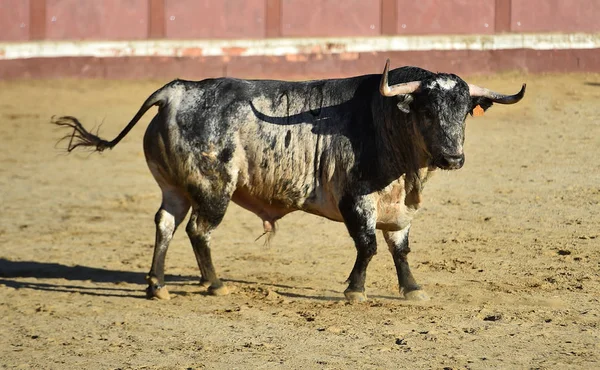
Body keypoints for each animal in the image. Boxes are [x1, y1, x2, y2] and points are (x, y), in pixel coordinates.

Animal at [55, 60, 524, 302]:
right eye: (426, 110)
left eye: (464, 112)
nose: (453, 157)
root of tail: (179, 89)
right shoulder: (356, 200)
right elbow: (368, 246)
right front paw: (354, 291)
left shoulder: (397, 208)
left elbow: (400, 249)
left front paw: (412, 289)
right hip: (214, 188)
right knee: (198, 230)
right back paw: (215, 285)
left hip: (175, 188)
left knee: (166, 225)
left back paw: (158, 287)